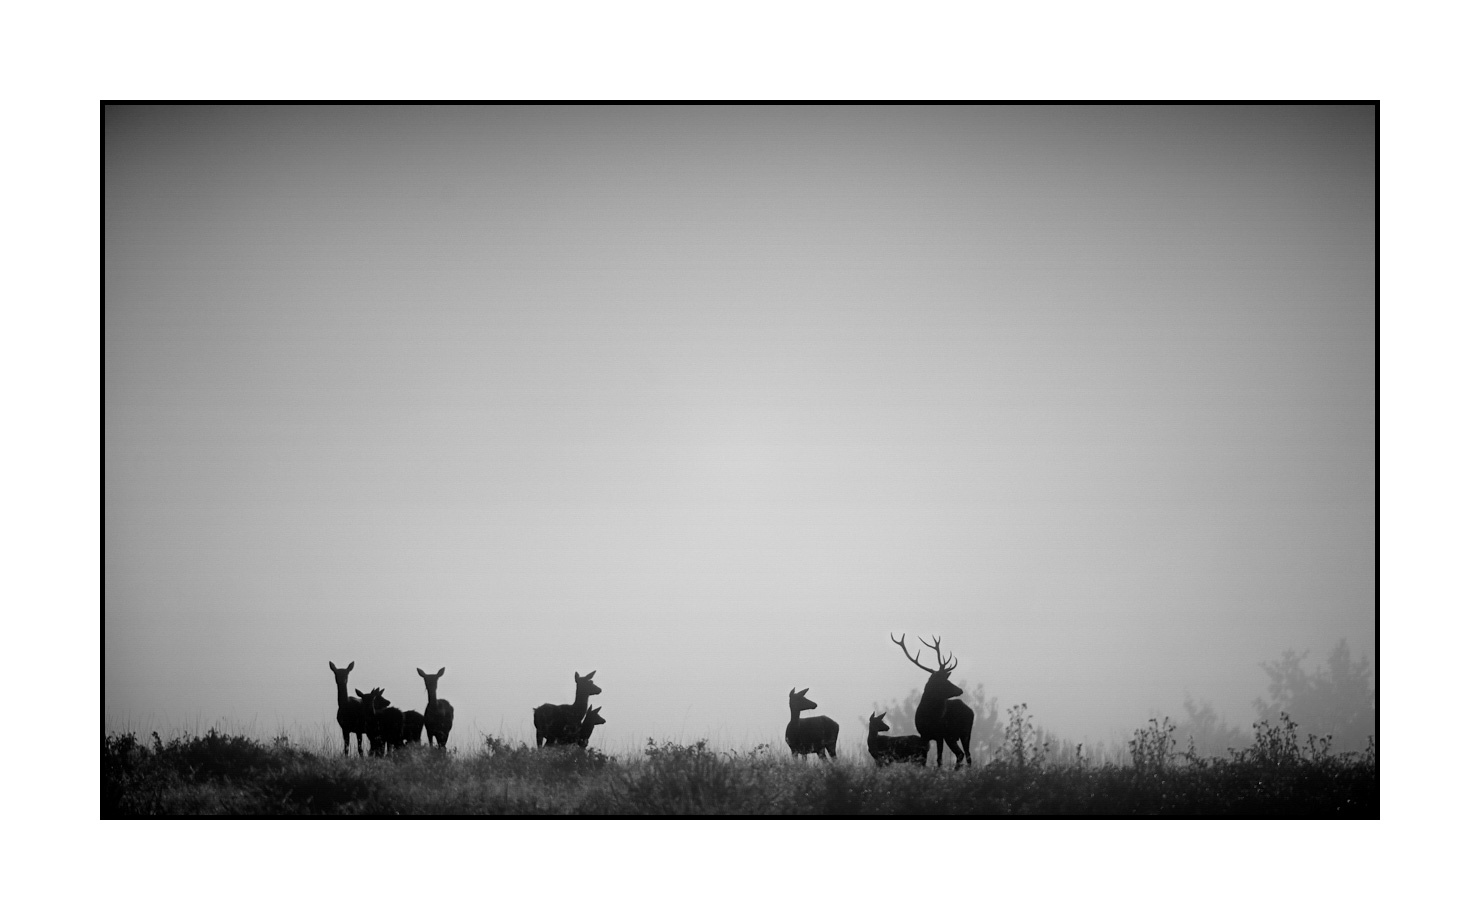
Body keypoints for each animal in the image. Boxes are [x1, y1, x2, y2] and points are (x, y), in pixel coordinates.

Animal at [891, 634, 974, 768]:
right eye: (944, 682)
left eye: (947, 680)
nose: (960, 690)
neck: (929, 717)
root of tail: (971, 710)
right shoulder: (924, 735)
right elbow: (923, 760)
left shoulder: (940, 735)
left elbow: (939, 760)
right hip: (952, 737)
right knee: (961, 754)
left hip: (964, 732)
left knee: (966, 754)